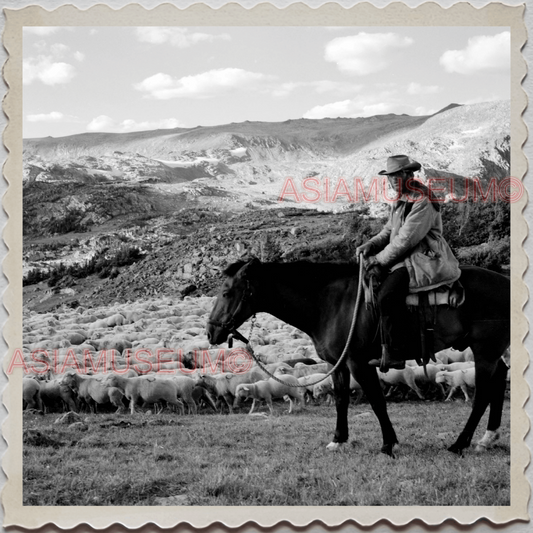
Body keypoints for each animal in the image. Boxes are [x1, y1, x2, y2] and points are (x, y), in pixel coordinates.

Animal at [206, 258, 510, 454]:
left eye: (226, 292)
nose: (211, 331)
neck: (330, 304)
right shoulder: (338, 363)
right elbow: (342, 400)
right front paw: (339, 440)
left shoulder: (358, 362)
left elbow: (376, 401)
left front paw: (388, 443)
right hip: (492, 352)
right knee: (499, 380)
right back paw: (488, 438)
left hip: (484, 351)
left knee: (483, 393)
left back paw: (460, 444)